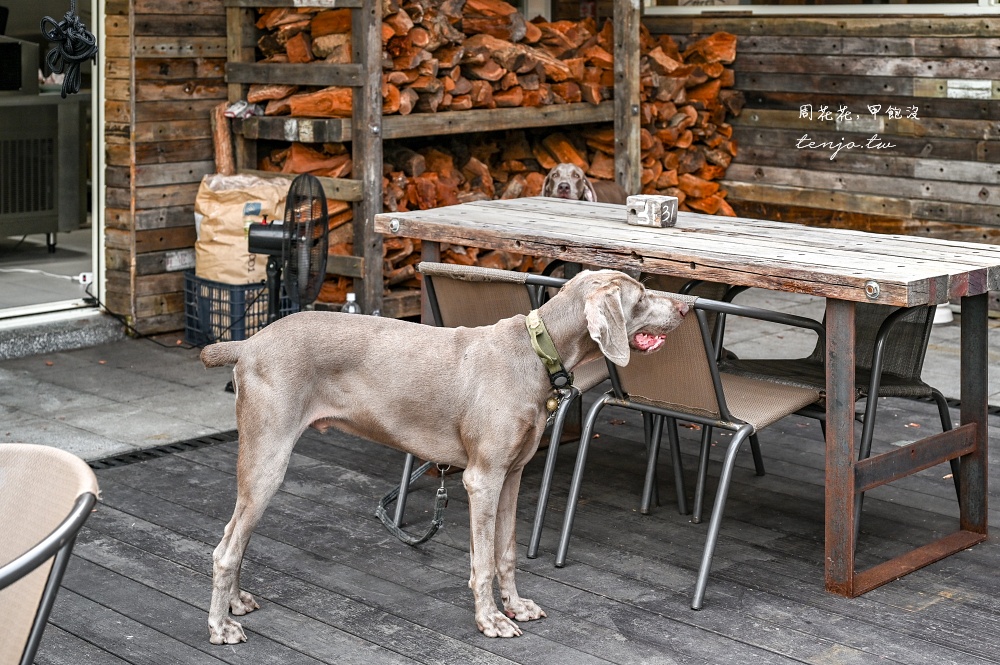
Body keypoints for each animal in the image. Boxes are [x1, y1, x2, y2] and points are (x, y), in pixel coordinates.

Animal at [203, 268, 688, 644]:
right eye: (641, 296)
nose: (685, 307)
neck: (537, 351)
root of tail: (248, 343)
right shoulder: (483, 478)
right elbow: (484, 562)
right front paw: (490, 620)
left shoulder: (511, 476)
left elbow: (506, 552)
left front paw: (516, 606)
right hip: (268, 459)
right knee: (225, 550)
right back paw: (220, 626)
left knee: (234, 537)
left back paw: (236, 603)